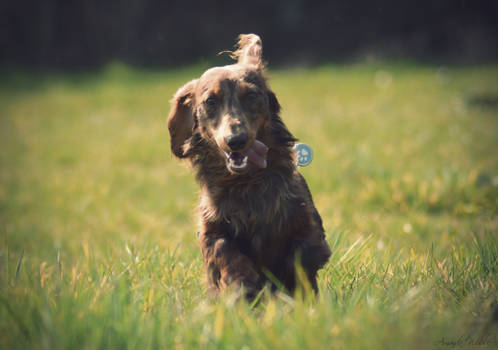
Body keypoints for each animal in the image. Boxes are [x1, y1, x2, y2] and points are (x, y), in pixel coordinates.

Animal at [167, 33, 330, 300]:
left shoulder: (309, 226)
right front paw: (244, 280)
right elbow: (223, 249)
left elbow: (301, 257)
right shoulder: (210, 230)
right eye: (210, 101)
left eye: (251, 96)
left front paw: (286, 285)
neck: (245, 183)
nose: (236, 140)